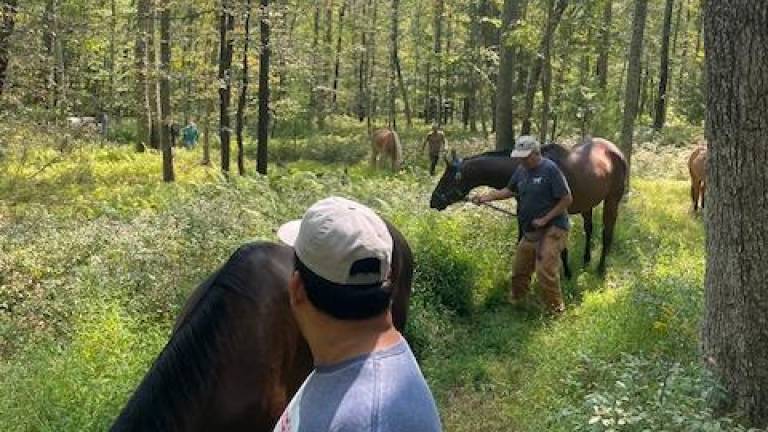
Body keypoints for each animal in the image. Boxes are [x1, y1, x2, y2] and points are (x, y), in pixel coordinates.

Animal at [428, 137, 628, 276]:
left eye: (446, 179)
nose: (433, 201)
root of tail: (615, 150)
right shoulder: (524, 215)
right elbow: (521, 242)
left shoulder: (556, 214)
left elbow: (561, 248)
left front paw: (566, 273)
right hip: (588, 204)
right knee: (589, 229)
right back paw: (586, 260)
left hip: (612, 200)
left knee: (607, 232)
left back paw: (601, 268)